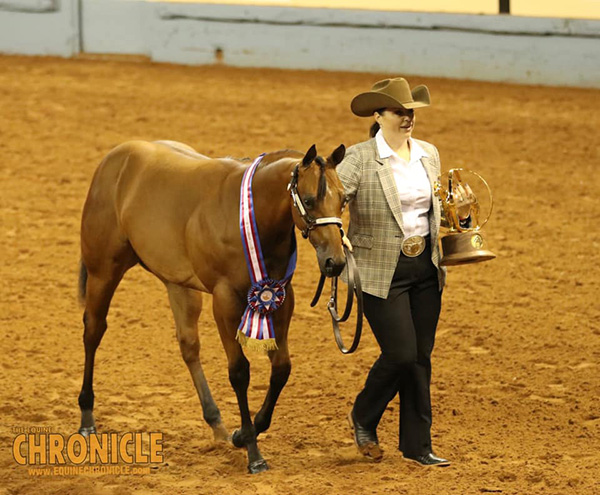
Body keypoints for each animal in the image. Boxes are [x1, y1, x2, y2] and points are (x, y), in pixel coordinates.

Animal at [77, 140, 346, 472]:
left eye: (344, 200)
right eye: (308, 200)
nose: (335, 262)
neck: (250, 215)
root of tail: (115, 157)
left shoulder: (281, 298)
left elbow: (281, 368)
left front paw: (242, 434)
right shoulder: (225, 300)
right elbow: (240, 372)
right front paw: (253, 452)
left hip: (177, 284)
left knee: (188, 345)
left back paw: (216, 422)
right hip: (103, 272)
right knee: (93, 331)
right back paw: (87, 418)